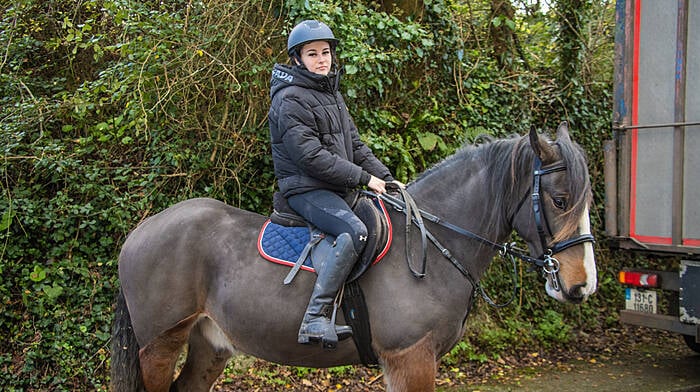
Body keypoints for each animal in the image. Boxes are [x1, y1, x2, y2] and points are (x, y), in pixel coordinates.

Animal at [110, 122, 596, 392]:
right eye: (559, 199)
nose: (581, 285)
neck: (434, 244)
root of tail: (140, 232)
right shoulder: (410, 359)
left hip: (210, 343)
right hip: (159, 345)